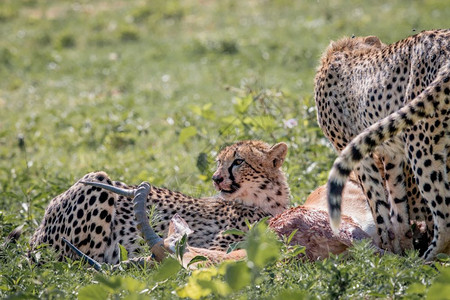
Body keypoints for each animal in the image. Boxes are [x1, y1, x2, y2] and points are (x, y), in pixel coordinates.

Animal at [314, 29, 450, 260]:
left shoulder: (356, 154)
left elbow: (378, 205)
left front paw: (385, 254)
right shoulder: (392, 155)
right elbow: (396, 205)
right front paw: (400, 250)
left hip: (421, 144)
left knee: (445, 216)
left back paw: (427, 261)